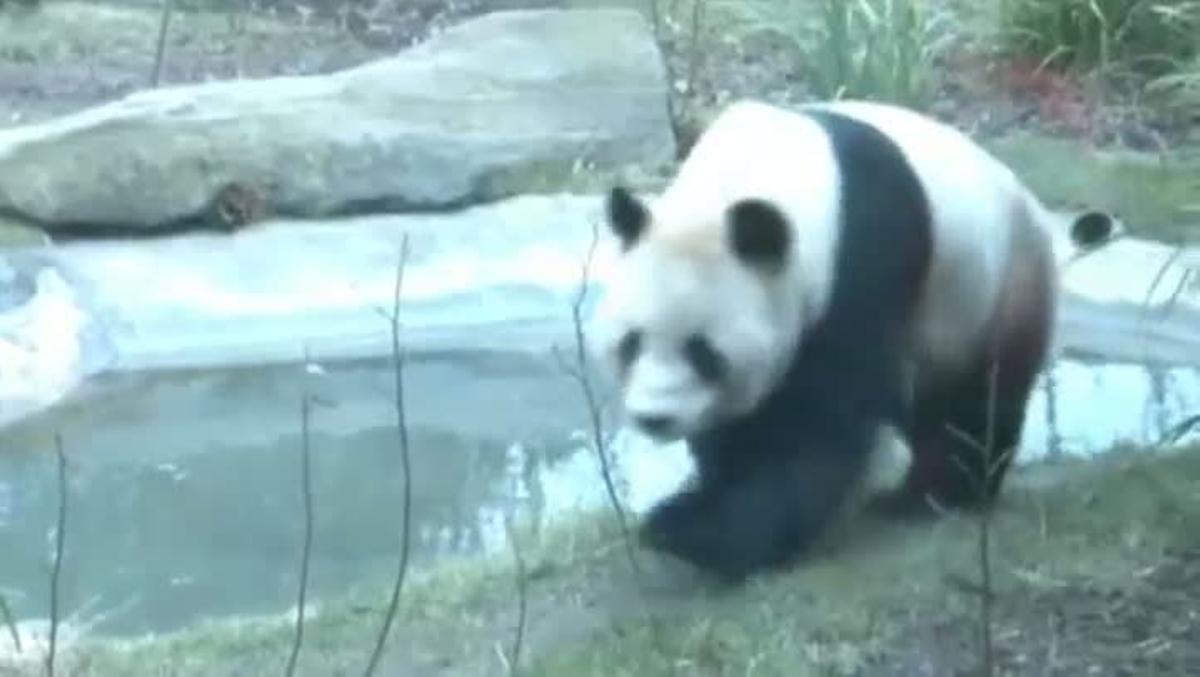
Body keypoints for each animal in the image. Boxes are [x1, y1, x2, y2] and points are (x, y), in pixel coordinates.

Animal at [588, 98, 1116, 584]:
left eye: (702, 352)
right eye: (631, 342)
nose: (654, 417)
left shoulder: (863, 257)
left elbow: (820, 424)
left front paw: (696, 531)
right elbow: (738, 426)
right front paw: (705, 496)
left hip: (995, 292)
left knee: (972, 407)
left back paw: (933, 496)